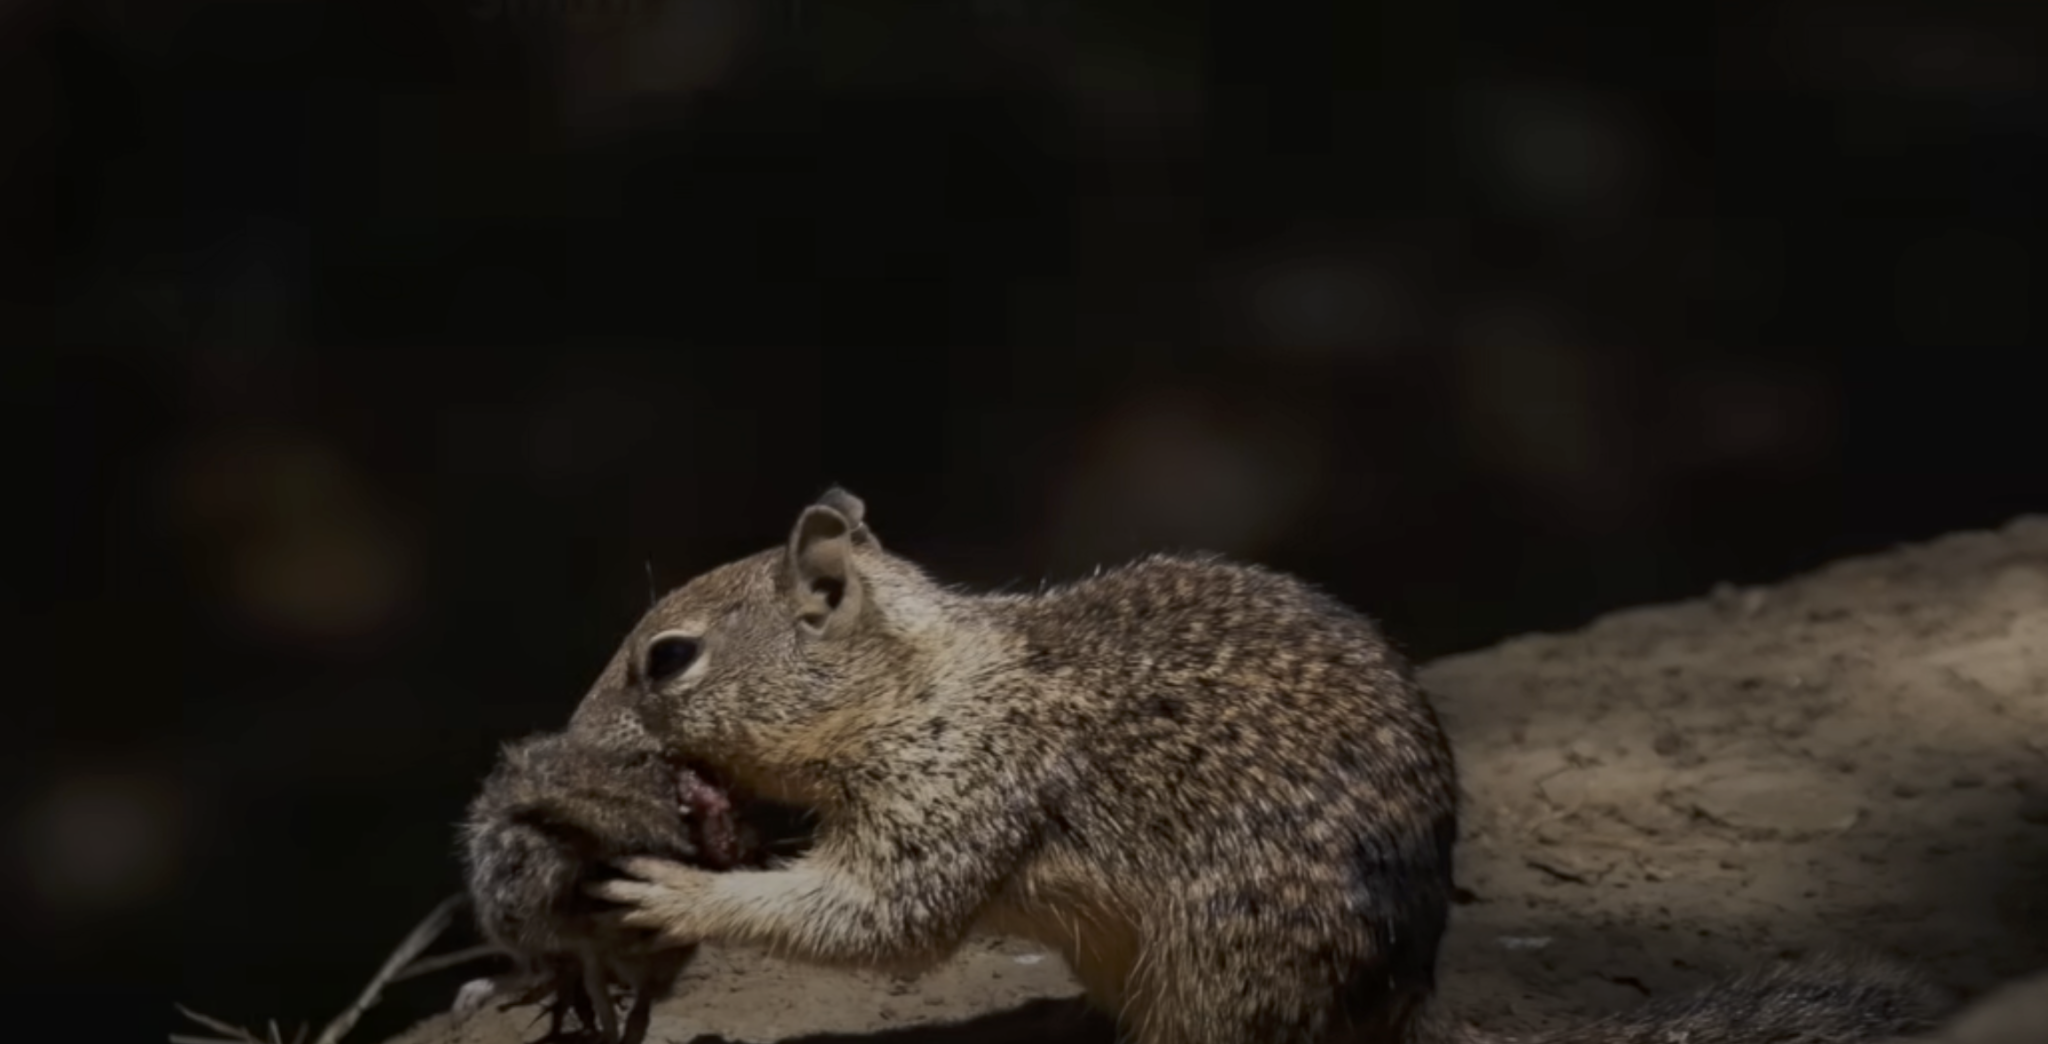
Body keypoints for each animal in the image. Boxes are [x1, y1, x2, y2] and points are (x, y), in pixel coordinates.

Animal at [468, 489, 1949, 1044]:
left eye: (666, 660)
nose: (568, 736)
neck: (920, 682)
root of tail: (1398, 1013)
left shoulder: (964, 786)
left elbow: (884, 912)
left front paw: (672, 895)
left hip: (1218, 968)